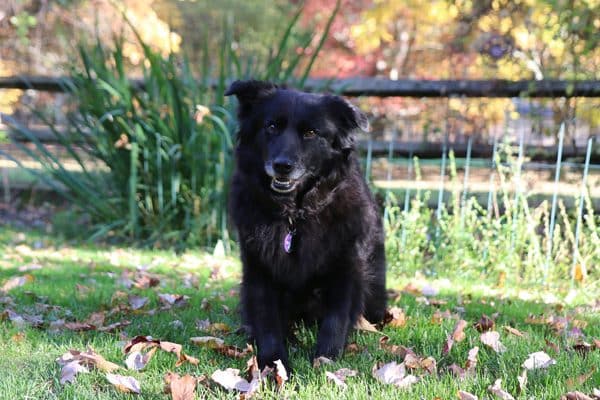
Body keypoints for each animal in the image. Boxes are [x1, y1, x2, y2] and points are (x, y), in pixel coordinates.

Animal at [224, 81, 384, 372]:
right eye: (271, 126)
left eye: (310, 133)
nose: (282, 166)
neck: (295, 215)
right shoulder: (259, 268)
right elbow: (267, 320)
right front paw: (274, 362)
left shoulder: (345, 266)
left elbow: (336, 318)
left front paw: (325, 360)